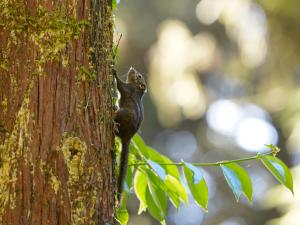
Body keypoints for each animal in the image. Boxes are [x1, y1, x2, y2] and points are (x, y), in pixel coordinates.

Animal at [111, 66, 146, 202]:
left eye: (139, 76)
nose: (132, 68)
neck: (136, 88)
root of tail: (128, 136)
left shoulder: (127, 89)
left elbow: (120, 85)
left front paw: (114, 72)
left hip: (122, 114)